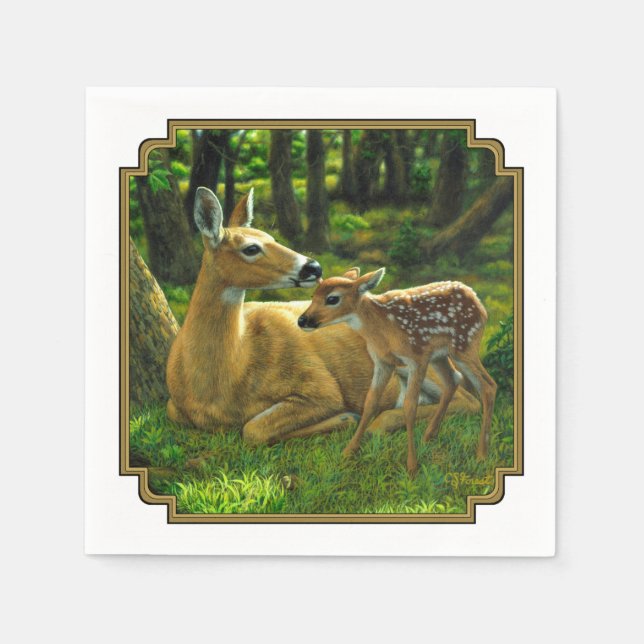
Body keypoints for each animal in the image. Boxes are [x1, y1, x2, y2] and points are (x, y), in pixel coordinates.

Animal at [166, 187, 480, 446]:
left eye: (272, 237)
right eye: (251, 248)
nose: (313, 267)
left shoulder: (320, 386)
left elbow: (253, 429)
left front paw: (344, 418)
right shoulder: (174, 407)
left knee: (466, 399)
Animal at [298, 267, 497, 475]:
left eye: (332, 299)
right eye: (313, 295)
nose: (302, 320)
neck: (382, 329)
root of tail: (477, 299)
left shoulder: (416, 358)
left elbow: (409, 406)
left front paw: (412, 466)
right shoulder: (382, 361)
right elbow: (370, 402)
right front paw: (348, 452)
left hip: (465, 344)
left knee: (488, 386)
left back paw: (481, 454)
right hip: (440, 355)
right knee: (453, 380)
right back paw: (429, 436)